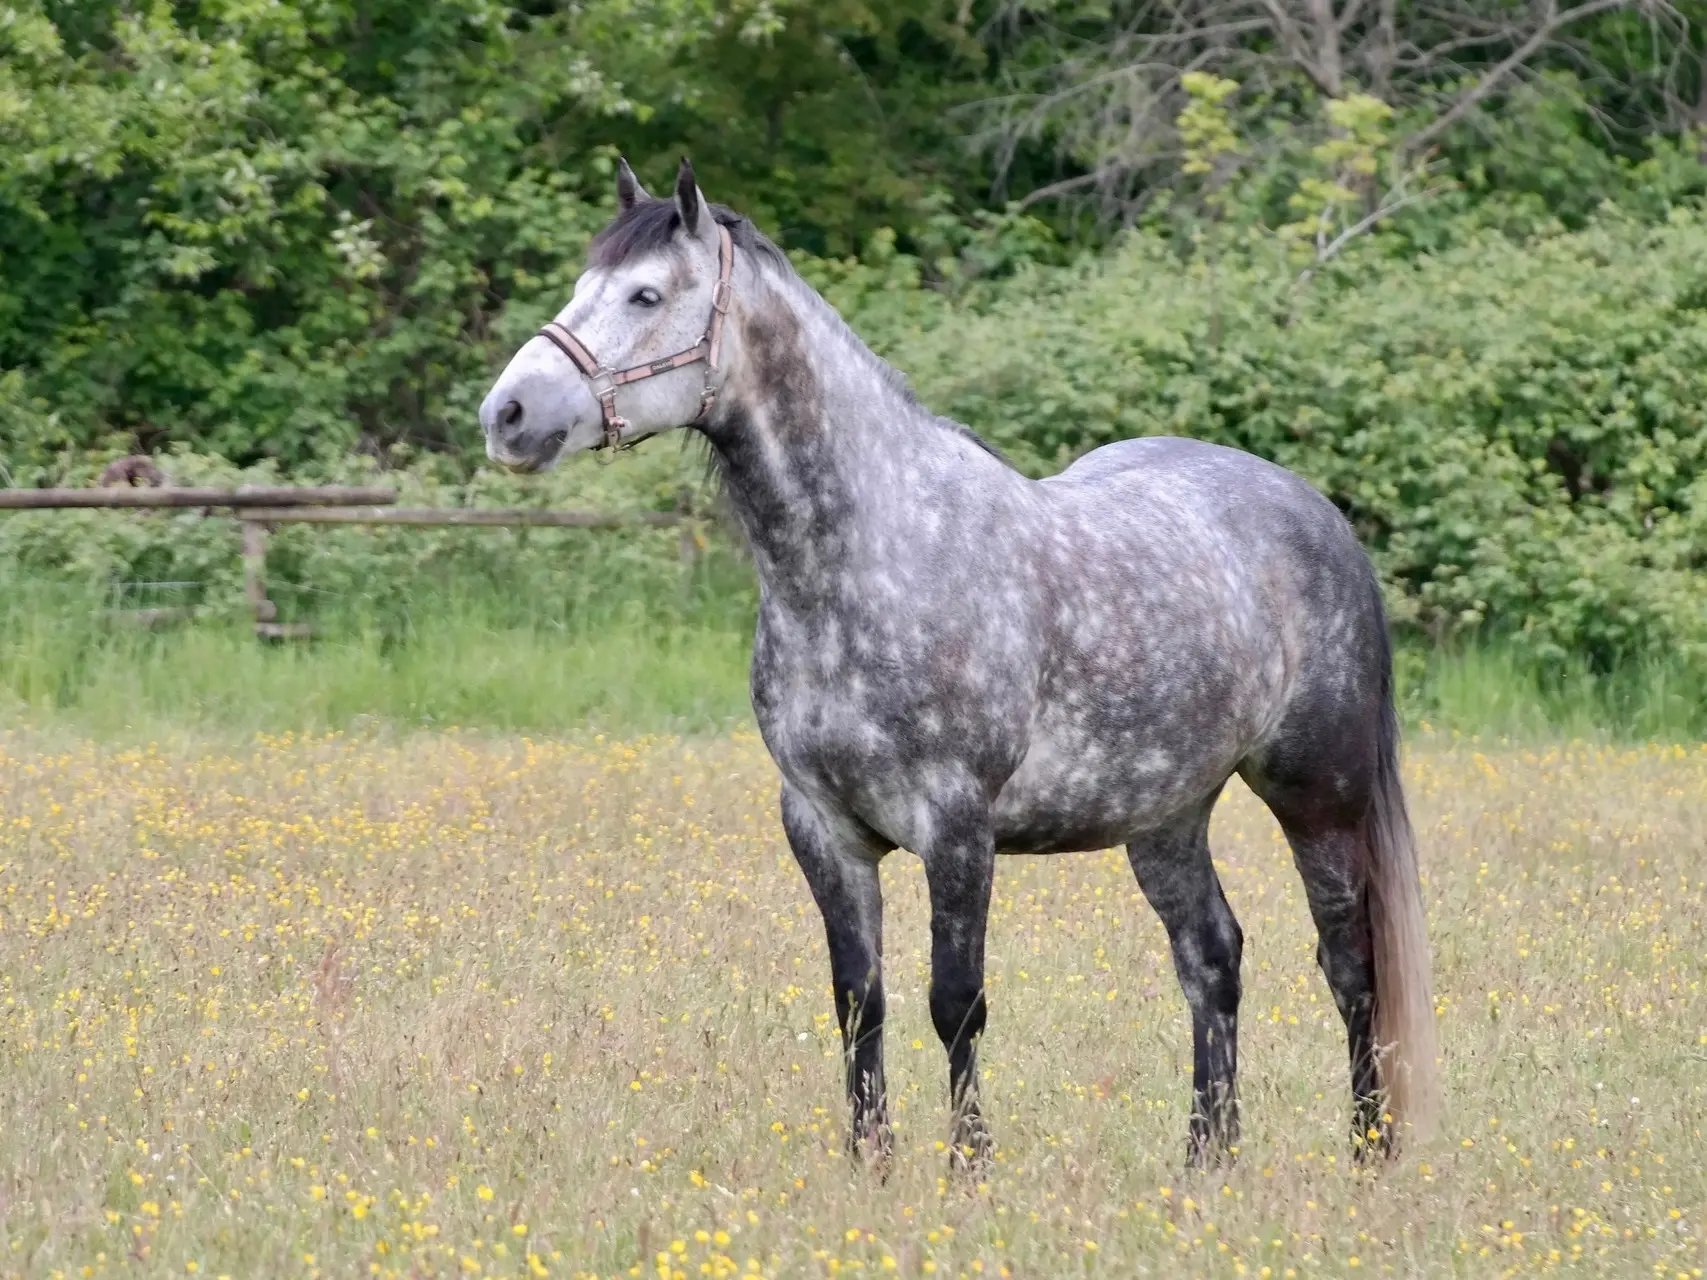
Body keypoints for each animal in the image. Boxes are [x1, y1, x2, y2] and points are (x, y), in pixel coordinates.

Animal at [484, 157, 1440, 1174]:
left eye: (646, 294)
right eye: (581, 285)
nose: (506, 415)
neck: (875, 552)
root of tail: (1316, 514)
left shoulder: (956, 829)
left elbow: (956, 1004)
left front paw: (967, 1171)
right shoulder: (821, 827)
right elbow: (858, 1002)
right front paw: (871, 1166)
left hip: (1317, 798)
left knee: (1349, 967)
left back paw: (1367, 1154)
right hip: (1167, 815)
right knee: (1211, 961)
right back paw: (1205, 1162)